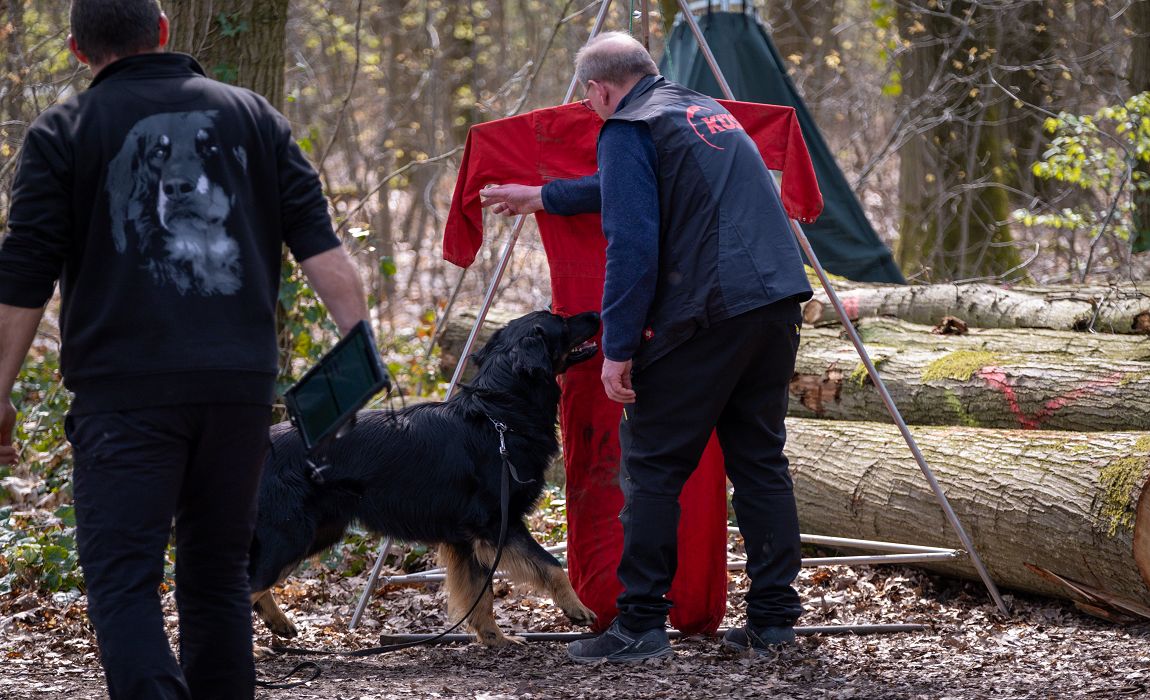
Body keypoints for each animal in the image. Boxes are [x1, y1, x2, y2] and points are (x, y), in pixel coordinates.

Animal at [248, 310, 602, 643]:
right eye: (560, 321)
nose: (597, 315)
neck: (499, 418)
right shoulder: (497, 524)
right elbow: (550, 564)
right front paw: (577, 608)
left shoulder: (467, 539)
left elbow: (481, 594)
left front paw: (495, 638)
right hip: (290, 534)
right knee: (250, 585)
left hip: (319, 531)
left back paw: (277, 623)